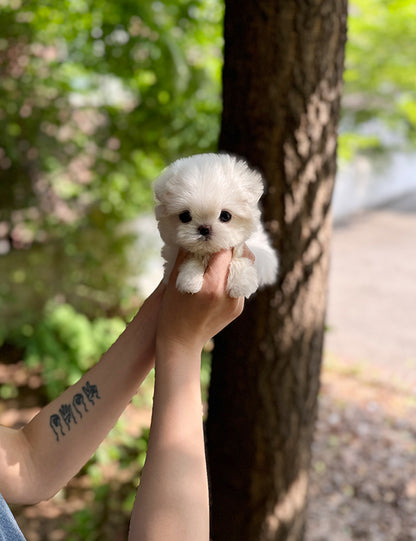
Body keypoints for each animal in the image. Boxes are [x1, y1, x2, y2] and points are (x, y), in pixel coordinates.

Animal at [154, 152, 280, 298]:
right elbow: (191, 258)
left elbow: (239, 258)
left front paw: (241, 284)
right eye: (185, 216)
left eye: (225, 216)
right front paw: (189, 280)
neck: (209, 253)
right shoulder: (172, 255)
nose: (204, 229)